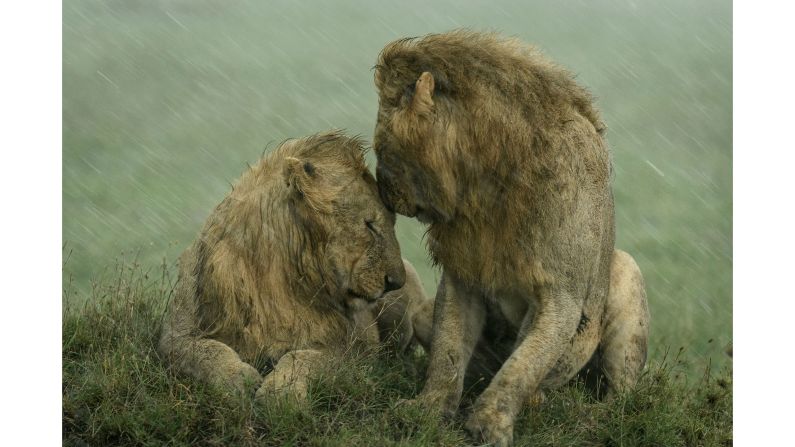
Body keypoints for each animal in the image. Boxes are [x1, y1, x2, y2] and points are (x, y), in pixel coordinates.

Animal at [158, 131, 436, 400]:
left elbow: (303, 357)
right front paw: (239, 379)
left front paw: (282, 392)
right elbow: (204, 352)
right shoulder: (176, 333)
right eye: (369, 225)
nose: (395, 281)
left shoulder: (352, 351)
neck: (275, 277)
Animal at [374, 30, 652, 444]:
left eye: (382, 149)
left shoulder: (562, 296)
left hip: (624, 271)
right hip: (423, 312)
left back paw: (591, 412)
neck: (486, 184)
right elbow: (447, 354)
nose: (383, 193)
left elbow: (524, 363)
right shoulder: (462, 276)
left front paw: (490, 423)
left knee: (620, 391)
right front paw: (427, 410)